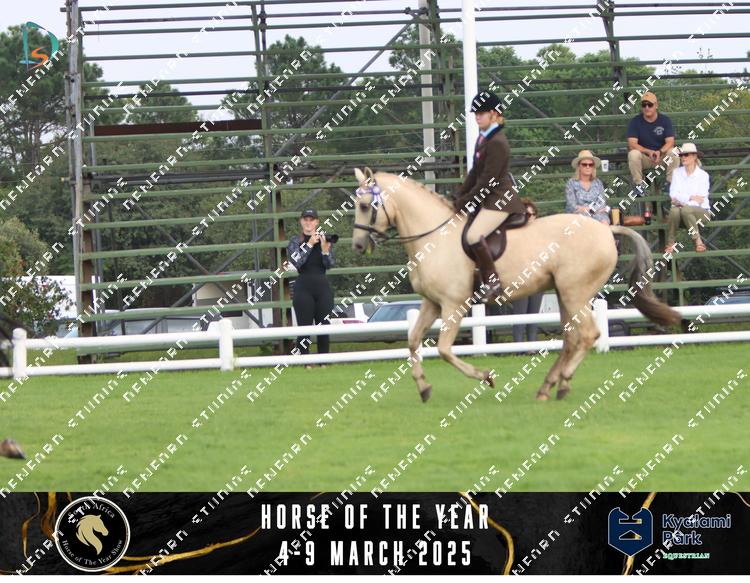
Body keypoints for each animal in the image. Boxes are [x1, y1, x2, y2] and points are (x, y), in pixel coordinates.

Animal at [351, 167, 680, 402]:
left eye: (366, 206)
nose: (357, 245)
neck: (434, 238)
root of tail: (606, 229)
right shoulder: (432, 303)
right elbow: (412, 341)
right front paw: (423, 388)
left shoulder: (453, 304)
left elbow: (444, 350)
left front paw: (485, 376)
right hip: (566, 293)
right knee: (571, 338)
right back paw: (548, 386)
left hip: (575, 293)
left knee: (587, 335)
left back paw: (563, 384)